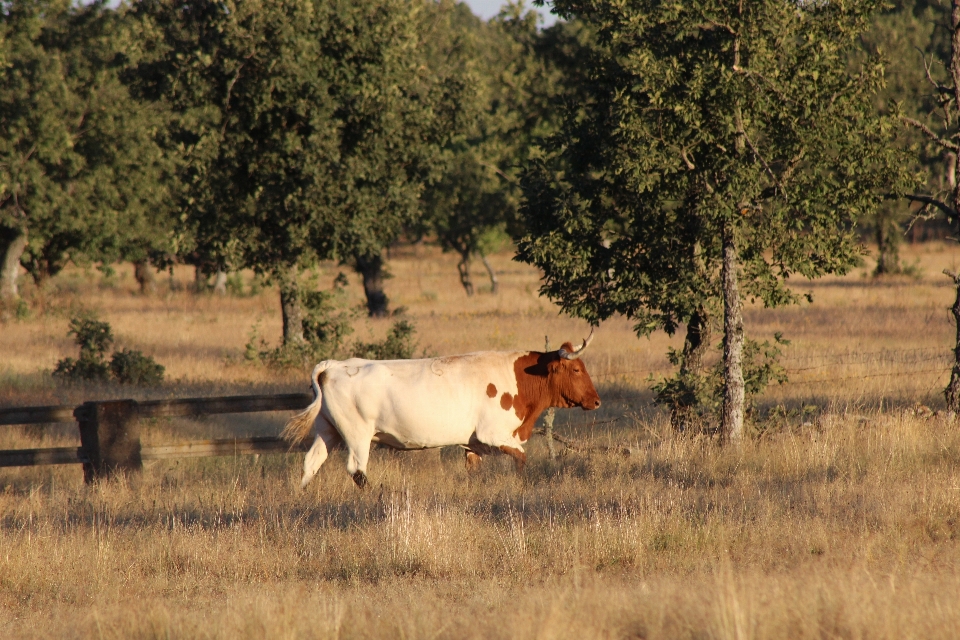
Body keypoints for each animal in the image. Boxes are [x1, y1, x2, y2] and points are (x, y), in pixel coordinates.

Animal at [282, 330, 604, 490]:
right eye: (576, 369)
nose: (597, 401)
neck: (517, 376)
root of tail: (335, 365)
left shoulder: (473, 444)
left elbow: (474, 470)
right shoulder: (494, 434)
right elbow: (521, 459)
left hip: (328, 431)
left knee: (311, 463)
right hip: (357, 434)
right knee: (356, 470)